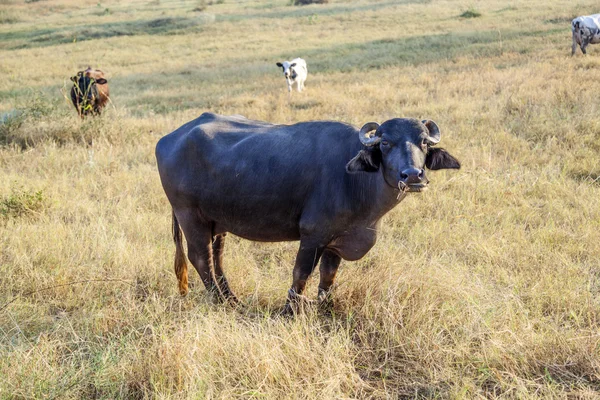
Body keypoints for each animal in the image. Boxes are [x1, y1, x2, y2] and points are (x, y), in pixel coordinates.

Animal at [156, 112, 460, 310]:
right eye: (385, 143)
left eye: (423, 141)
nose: (413, 175)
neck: (355, 180)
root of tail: (170, 137)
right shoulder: (313, 235)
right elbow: (300, 275)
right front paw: (289, 310)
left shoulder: (337, 240)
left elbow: (328, 277)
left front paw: (324, 306)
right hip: (189, 215)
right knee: (201, 258)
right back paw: (220, 302)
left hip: (218, 221)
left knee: (217, 258)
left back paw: (232, 299)